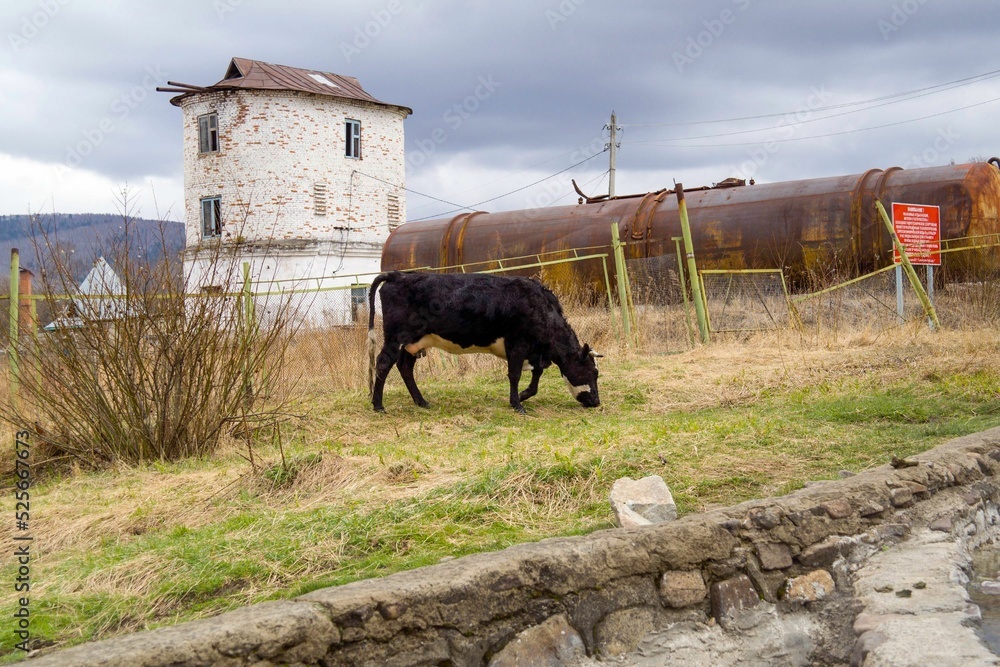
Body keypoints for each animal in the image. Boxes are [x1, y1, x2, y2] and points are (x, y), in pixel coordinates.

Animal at [370, 272, 596, 412]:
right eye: (592, 372)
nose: (596, 402)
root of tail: (398, 274)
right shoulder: (517, 345)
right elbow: (514, 375)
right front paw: (517, 404)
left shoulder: (535, 351)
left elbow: (536, 377)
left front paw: (523, 395)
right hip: (395, 338)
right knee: (383, 364)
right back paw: (378, 405)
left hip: (413, 342)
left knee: (405, 367)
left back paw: (421, 401)